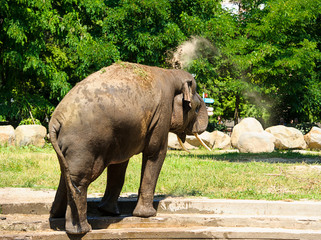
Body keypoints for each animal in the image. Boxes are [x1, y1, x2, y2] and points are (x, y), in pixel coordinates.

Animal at [48, 62, 208, 234]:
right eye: (196, 108)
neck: (171, 74)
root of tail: (56, 119)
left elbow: (119, 164)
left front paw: (108, 212)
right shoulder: (162, 112)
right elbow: (155, 153)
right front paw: (147, 215)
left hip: (68, 145)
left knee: (66, 174)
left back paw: (55, 217)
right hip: (84, 144)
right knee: (80, 179)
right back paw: (82, 230)